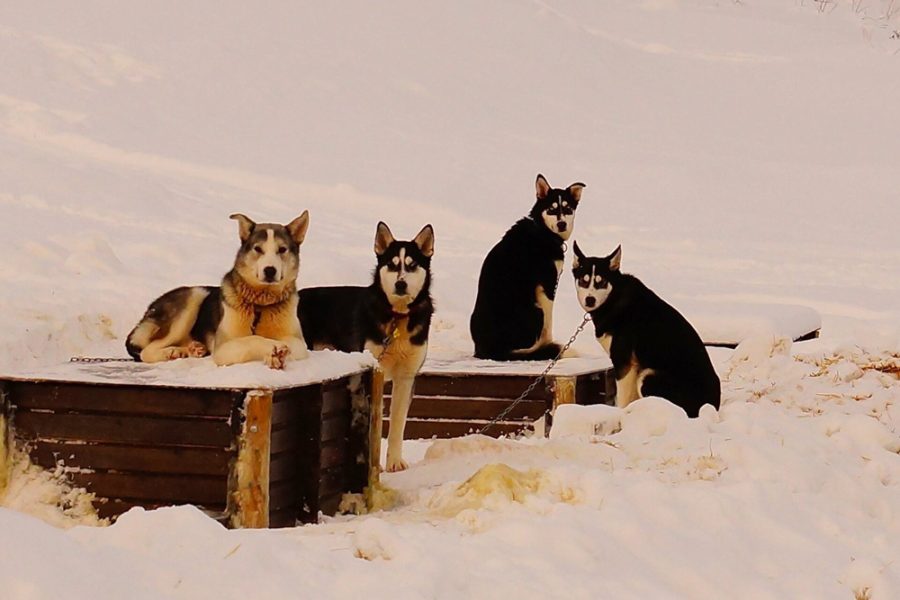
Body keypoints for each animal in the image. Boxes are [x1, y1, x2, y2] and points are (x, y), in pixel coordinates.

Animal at [125, 211, 312, 370]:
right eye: (258, 249)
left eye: (282, 249)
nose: (270, 270)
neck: (261, 304)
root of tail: (149, 309)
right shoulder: (223, 349)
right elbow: (252, 339)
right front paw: (273, 349)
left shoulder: (300, 344)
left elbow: (292, 345)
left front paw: (275, 354)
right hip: (194, 297)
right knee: (147, 350)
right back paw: (171, 352)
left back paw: (192, 349)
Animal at [298, 223, 434, 472]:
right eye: (392, 264)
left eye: (412, 265)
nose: (401, 283)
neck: (397, 317)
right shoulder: (374, 371)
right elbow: (375, 424)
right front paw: (374, 466)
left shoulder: (407, 377)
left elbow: (397, 425)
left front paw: (394, 462)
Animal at [468, 173, 588, 360]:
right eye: (552, 209)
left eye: (568, 209)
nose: (562, 224)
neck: (542, 230)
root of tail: (489, 350)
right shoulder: (548, 285)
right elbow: (549, 325)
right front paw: (550, 348)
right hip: (536, 311)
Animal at [572, 240, 720, 418]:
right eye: (583, 280)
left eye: (601, 282)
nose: (590, 299)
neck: (614, 297)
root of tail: (712, 405)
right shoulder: (632, 367)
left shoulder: (623, 362)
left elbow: (623, 400)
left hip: (648, 376)